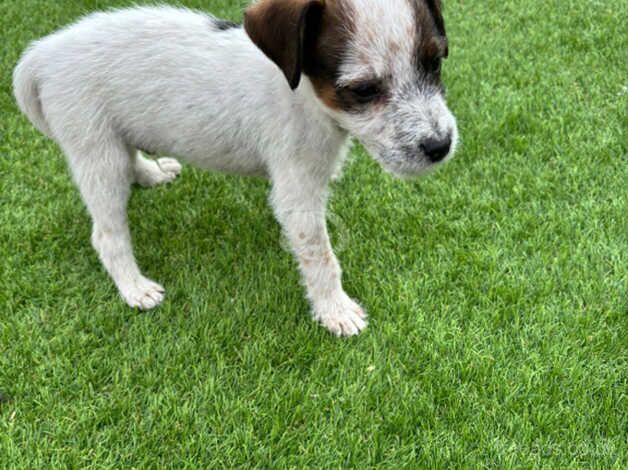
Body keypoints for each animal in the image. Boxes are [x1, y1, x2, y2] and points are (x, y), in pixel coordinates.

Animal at [13, 0, 456, 338]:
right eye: (363, 90)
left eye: (434, 63)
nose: (440, 146)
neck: (305, 93)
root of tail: (42, 53)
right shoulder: (296, 194)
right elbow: (321, 257)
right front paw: (336, 311)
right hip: (95, 151)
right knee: (107, 235)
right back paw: (134, 288)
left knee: (128, 159)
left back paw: (150, 173)